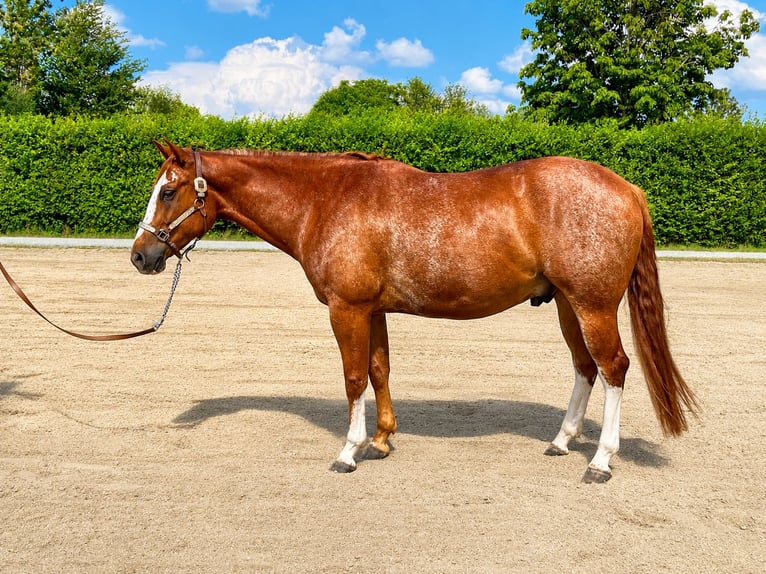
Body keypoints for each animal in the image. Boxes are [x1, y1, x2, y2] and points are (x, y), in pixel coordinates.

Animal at [131, 140, 698, 483]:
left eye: (168, 190)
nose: (141, 255)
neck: (325, 200)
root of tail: (627, 188)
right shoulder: (372, 310)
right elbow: (379, 370)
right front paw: (382, 441)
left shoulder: (347, 309)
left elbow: (353, 378)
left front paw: (349, 451)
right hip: (565, 305)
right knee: (584, 367)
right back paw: (561, 441)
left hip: (592, 305)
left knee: (614, 368)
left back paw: (600, 460)